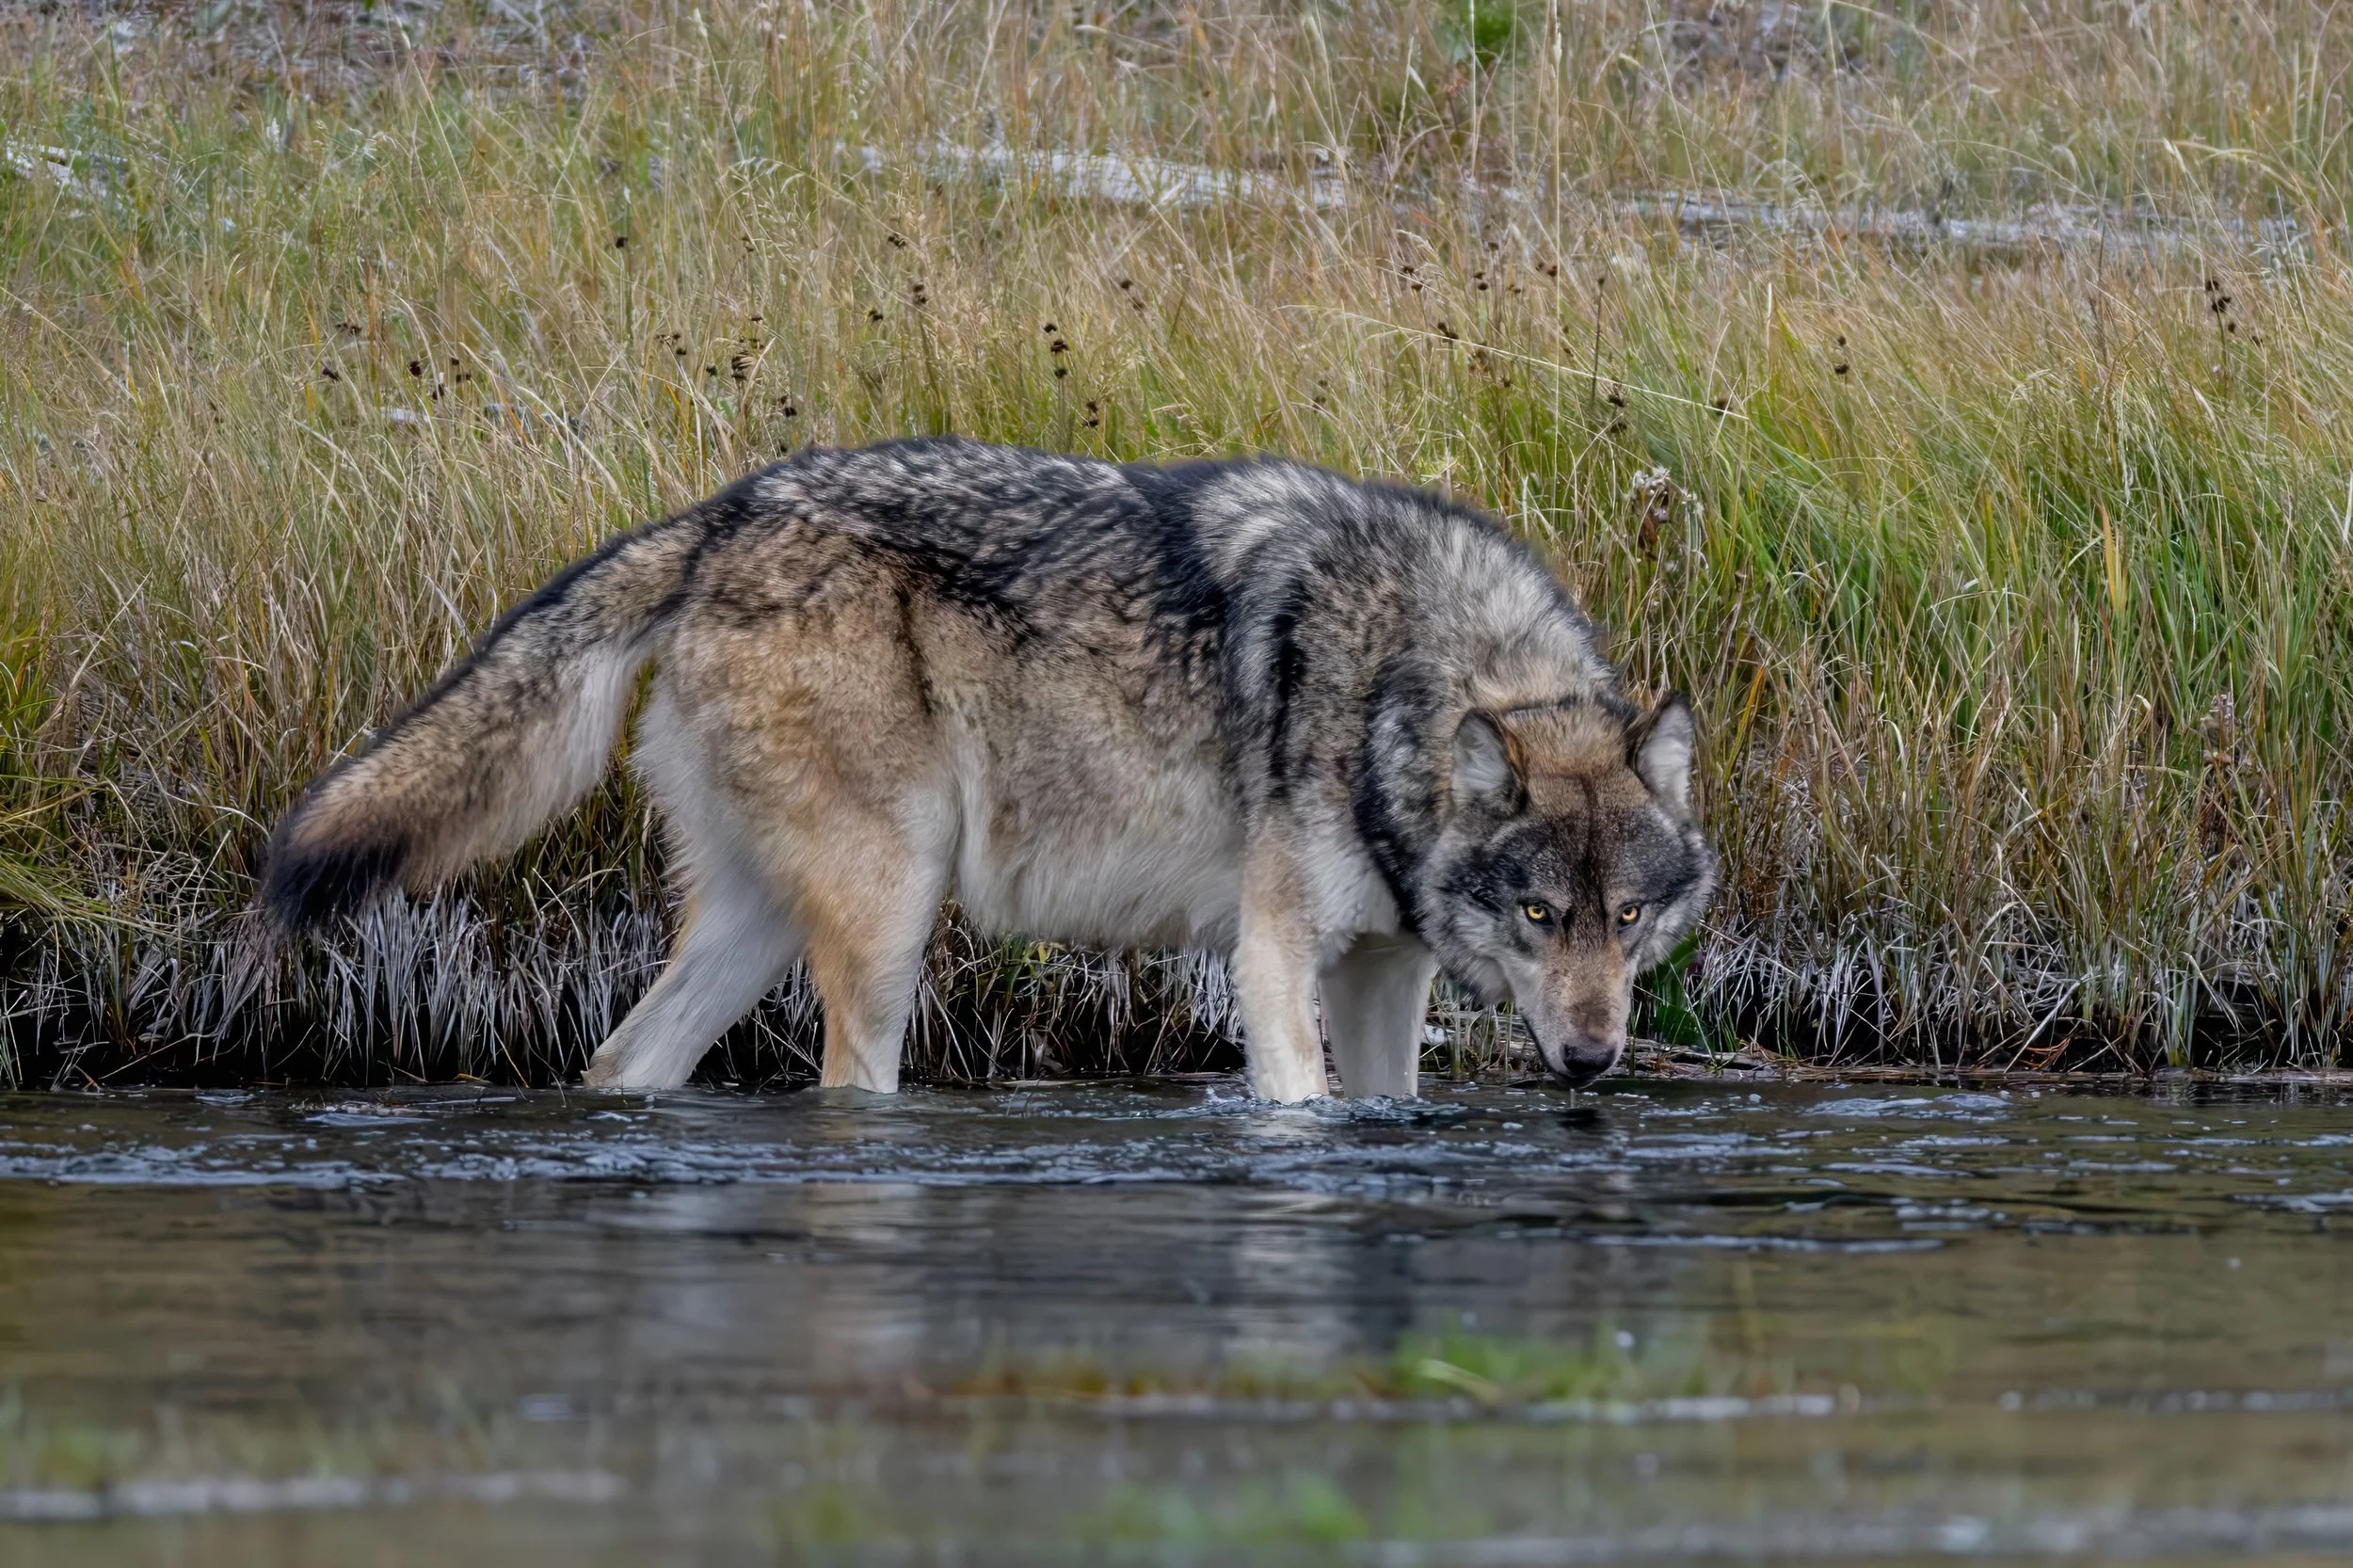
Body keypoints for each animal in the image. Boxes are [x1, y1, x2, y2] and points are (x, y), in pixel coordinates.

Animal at [262, 437, 1713, 1099]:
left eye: (1629, 919)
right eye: (1542, 915)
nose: (1595, 1060)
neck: (1402, 682)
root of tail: (724, 512)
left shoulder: (1383, 974)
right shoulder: (1272, 954)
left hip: (755, 929)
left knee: (622, 1060)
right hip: (893, 914)